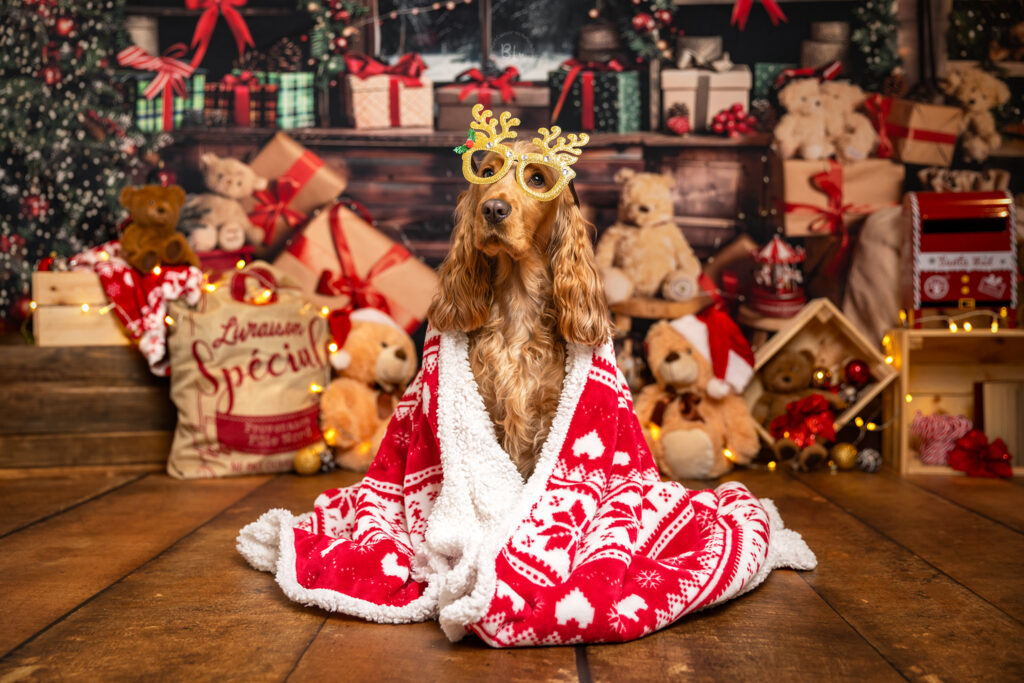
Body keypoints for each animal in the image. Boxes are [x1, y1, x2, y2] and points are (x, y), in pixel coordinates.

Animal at [425, 109, 606, 479]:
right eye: (487, 173)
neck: (518, 299)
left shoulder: (547, 413)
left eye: (537, 179)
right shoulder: (488, 404)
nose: (493, 209)